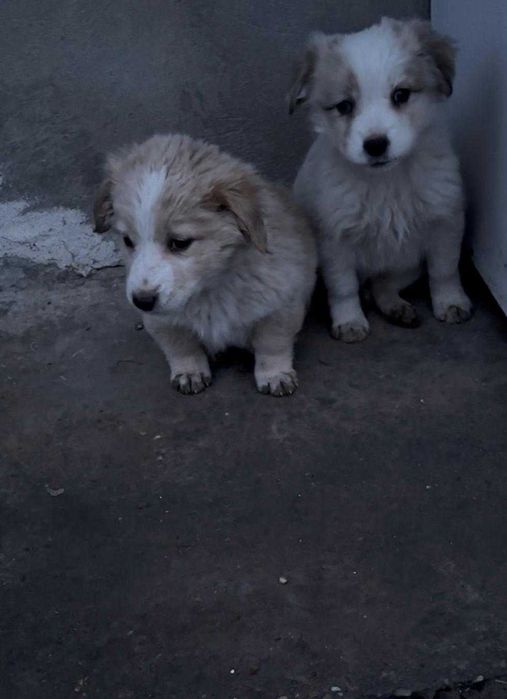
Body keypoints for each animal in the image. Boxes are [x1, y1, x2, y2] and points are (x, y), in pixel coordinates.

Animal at [93, 134, 316, 395]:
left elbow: (272, 344)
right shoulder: (162, 321)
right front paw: (189, 371)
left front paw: (274, 374)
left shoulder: (281, 305)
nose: (142, 301)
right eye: (128, 241)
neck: (211, 288)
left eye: (179, 243)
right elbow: (180, 346)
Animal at [289, 17, 472, 342]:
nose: (375, 145)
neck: (388, 181)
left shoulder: (445, 221)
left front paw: (451, 302)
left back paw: (396, 308)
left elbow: (445, 271)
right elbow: (343, 287)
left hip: (407, 264)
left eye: (401, 95)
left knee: (382, 285)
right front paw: (349, 320)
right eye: (344, 106)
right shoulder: (335, 240)